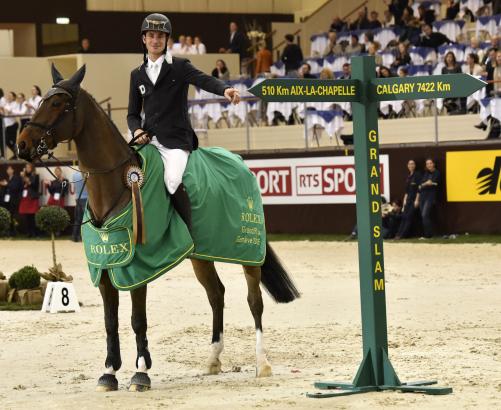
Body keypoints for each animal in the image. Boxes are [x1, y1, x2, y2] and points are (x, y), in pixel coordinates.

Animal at [17, 65, 298, 392]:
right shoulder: (106, 269)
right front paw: (109, 373)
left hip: (248, 251)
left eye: (58, 103)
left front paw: (141, 373)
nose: (22, 144)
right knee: (216, 294)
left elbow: (138, 319)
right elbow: (110, 321)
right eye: (41, 101)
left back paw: (262, 363)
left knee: (254, 302)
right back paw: (213, 359)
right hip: (201, 256)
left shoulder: (137, 267)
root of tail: (239, 162)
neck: (118, 184)